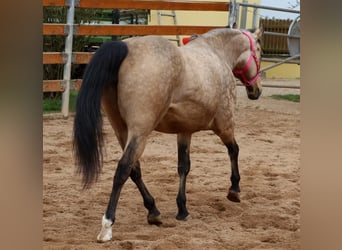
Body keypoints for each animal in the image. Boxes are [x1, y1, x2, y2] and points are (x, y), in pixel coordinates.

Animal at [73, 26, 264, 241]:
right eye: (259, 51)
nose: (256, 90)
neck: (217, 53)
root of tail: (125, 47)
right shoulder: (225, 125)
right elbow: (234, 150)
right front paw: (234, 190)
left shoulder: (185, 131)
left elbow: (183, 166)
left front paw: (182, 209)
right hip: (140, 132)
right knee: (123, 168)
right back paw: (107, 225)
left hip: (121, 130)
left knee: (134, 169)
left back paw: (153, 211)